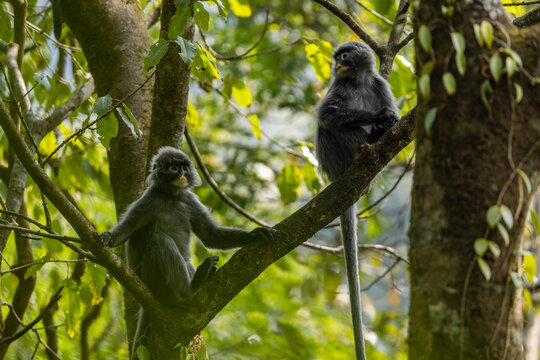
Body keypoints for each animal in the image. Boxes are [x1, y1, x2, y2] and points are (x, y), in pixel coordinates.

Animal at [99, 146, 278, 358]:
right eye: (174, 168)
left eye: (184, 167)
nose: (182, 174)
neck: (172, 197)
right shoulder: (148, 200)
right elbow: (126, 229)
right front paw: (107, 238)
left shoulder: (189, 200)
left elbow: (210, 235)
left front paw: (254, 235)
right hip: (149, 277)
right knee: (159, 240)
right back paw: (189, 289)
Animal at [314, 42, 398, 360]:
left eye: (344, 54)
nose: (337, 61)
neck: (358, 81)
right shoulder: (339, 86)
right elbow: (328, 115)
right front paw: (381, 116)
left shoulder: (380, 83)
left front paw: (388, 120)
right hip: (334, 156)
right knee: (327, 127)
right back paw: (371, 136)